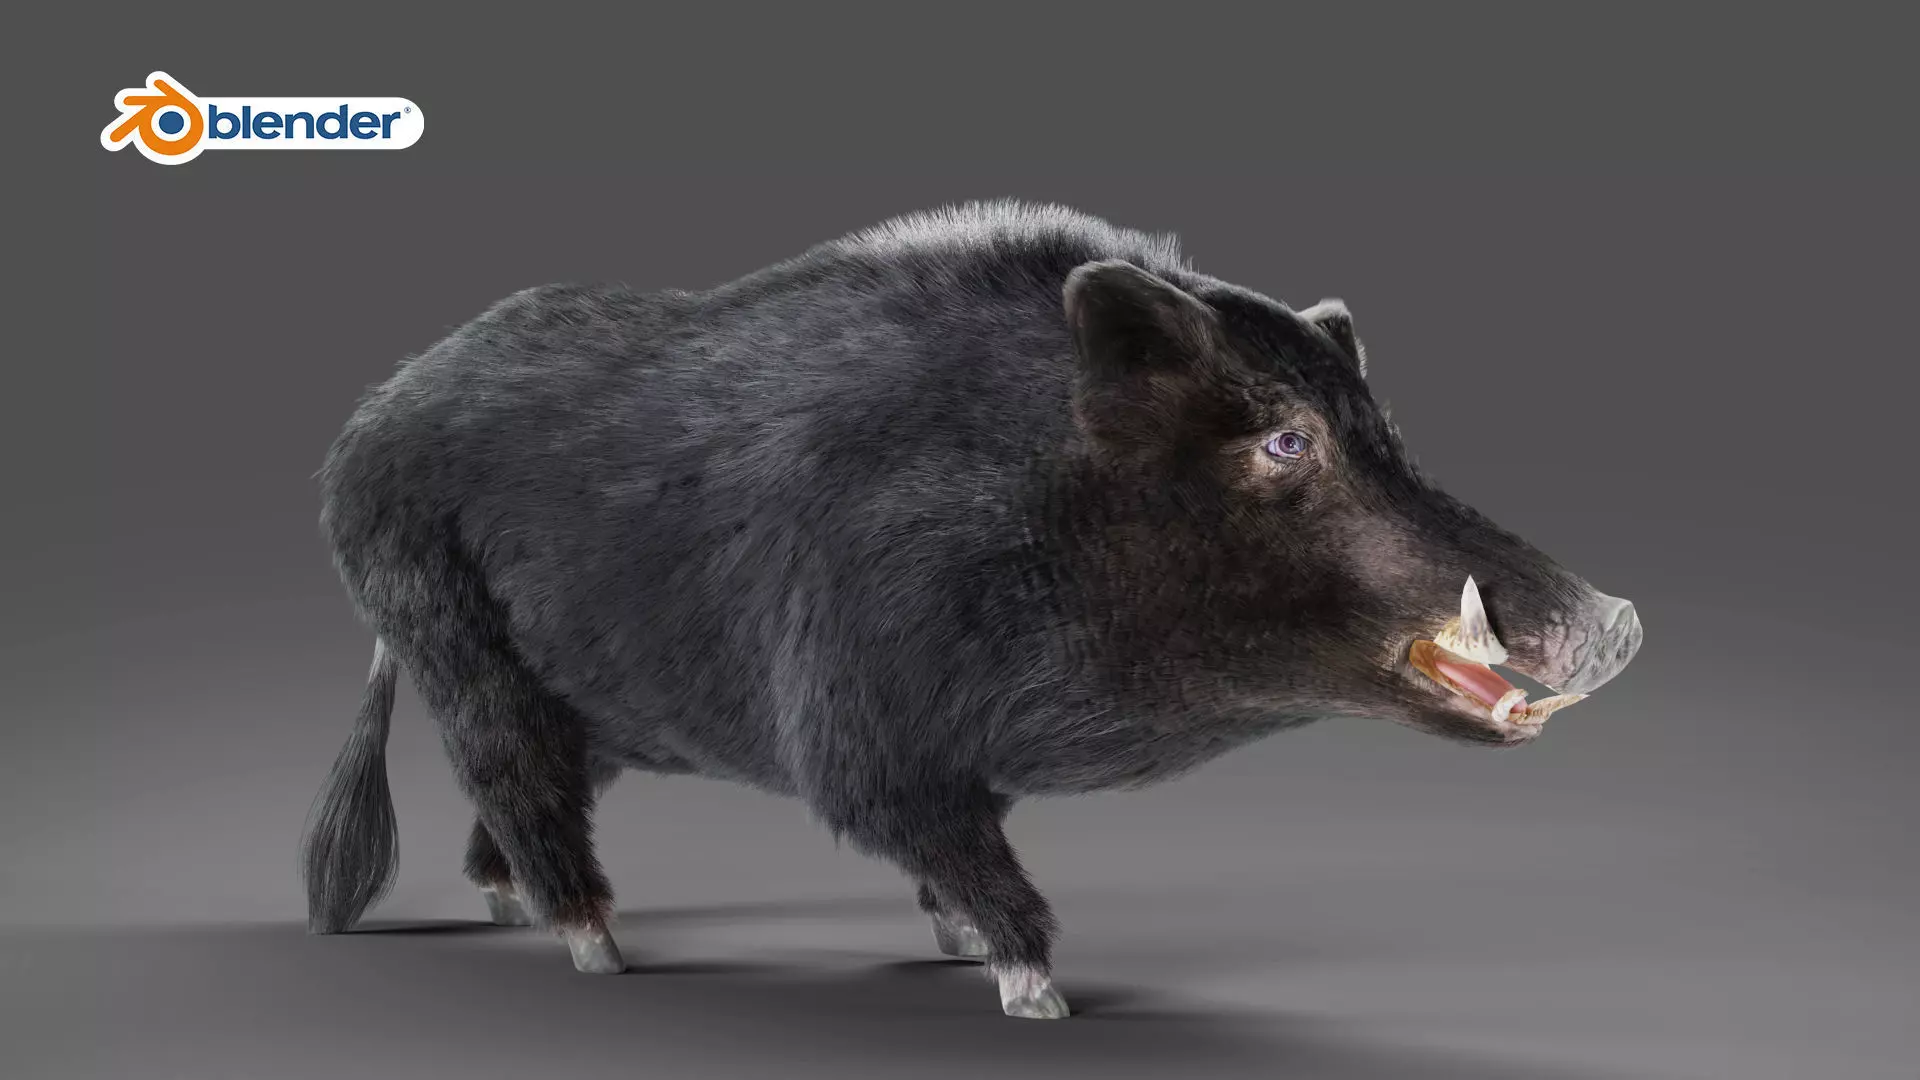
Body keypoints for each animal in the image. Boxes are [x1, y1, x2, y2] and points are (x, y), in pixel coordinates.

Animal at [302, 200, 1644, 1019]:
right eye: (1284, 441)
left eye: (1387, 435)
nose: (1620, 617)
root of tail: (364, 424)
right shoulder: (857, 726)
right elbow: (945, 845)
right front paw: (1038, 995)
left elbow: (959, 853)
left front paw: (948, 945)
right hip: (455, 643)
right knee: (514, 782)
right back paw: (597, 951)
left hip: (593, 705)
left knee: (519, 806)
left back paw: (507, 908)